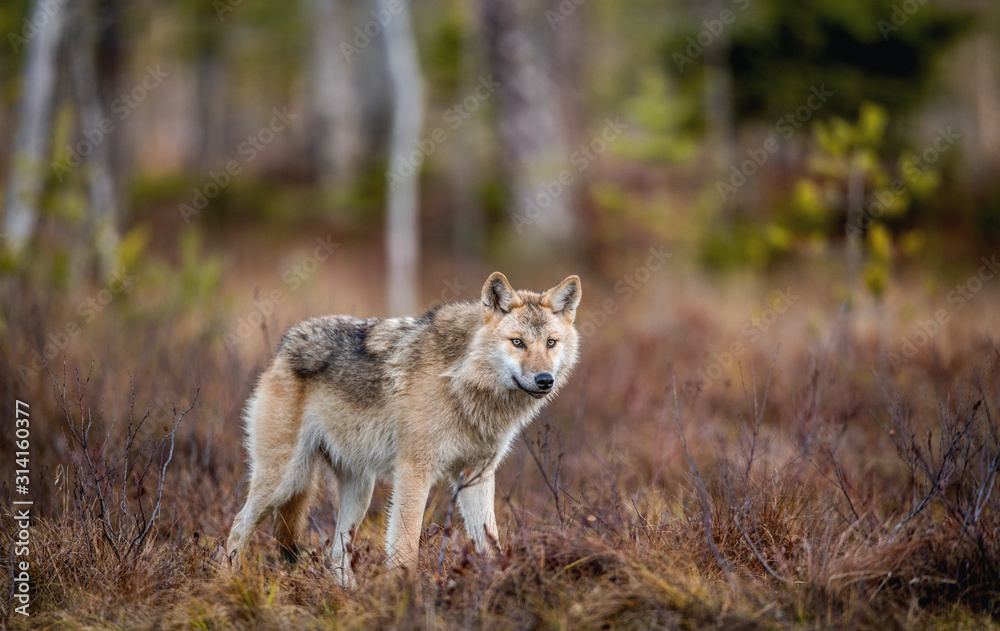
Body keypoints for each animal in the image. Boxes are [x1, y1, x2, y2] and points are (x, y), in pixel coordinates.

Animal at [227, 272, 584, 588]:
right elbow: (406, 548)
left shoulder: (477, 475)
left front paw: (499, 584)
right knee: (237, 528)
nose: (544, 380)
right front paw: (404, 597)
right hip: (286, 480)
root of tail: (284, 345)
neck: (462, 379)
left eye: (551, 343)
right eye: (518, 343)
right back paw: (229, 582)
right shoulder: (414, 472)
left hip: (358, 490)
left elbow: (490, 544)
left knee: (336, 555)